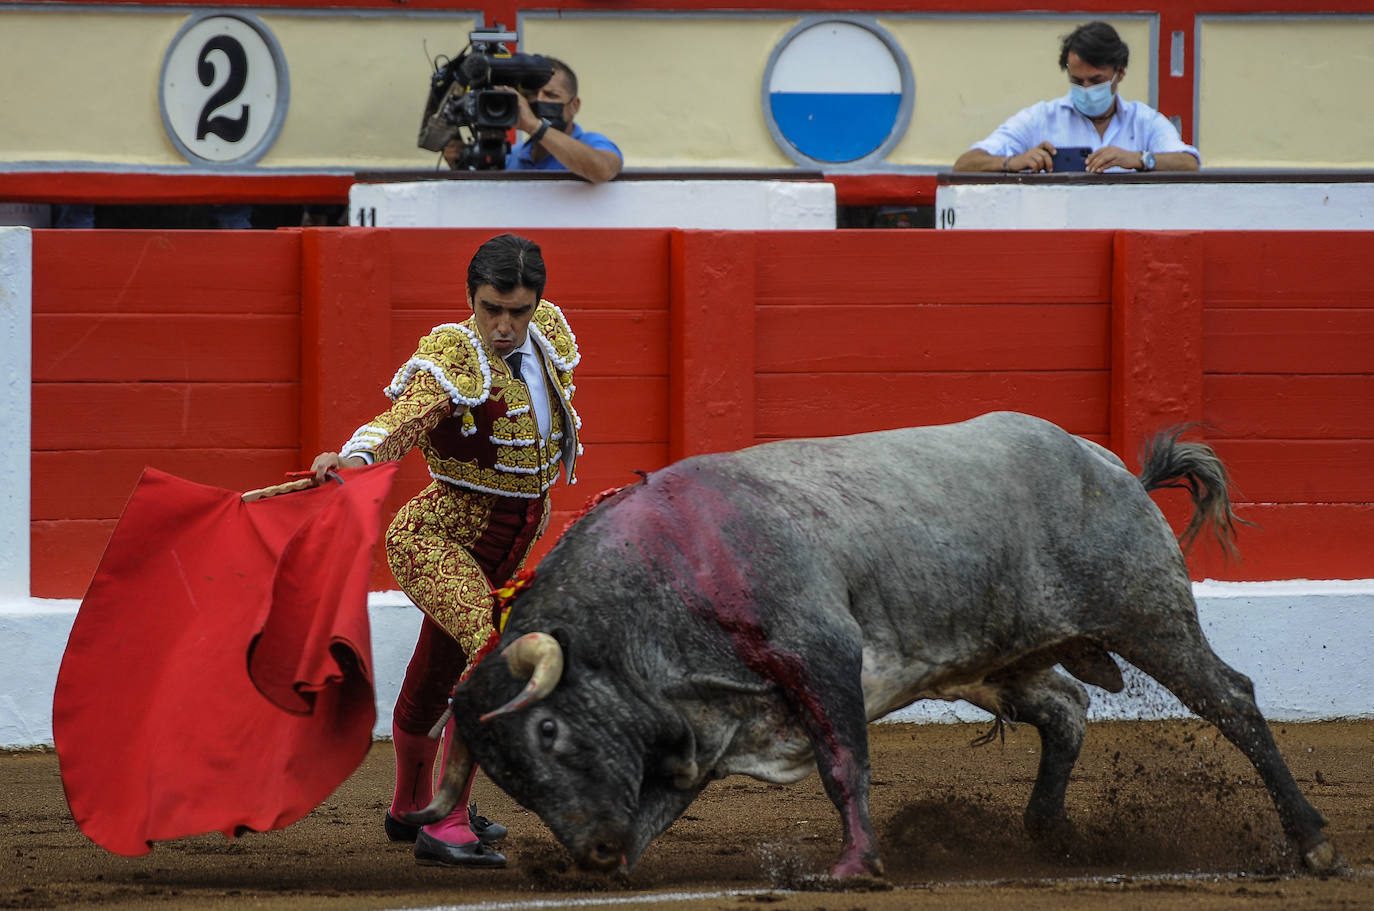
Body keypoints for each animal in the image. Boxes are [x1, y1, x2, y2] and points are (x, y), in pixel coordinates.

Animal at [401, 417, 1335, 879]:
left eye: (547, 730)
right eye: (508, 777)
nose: (589, 851)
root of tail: (1111, 468)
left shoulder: (821, 654)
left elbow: (843, 762)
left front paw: (853, 868)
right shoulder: (696, 727)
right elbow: (654, 804)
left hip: (1146, 613)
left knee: (1233, 701)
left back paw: (1314, 842)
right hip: (996, 661)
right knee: (1067, 707)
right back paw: (1048, 832)